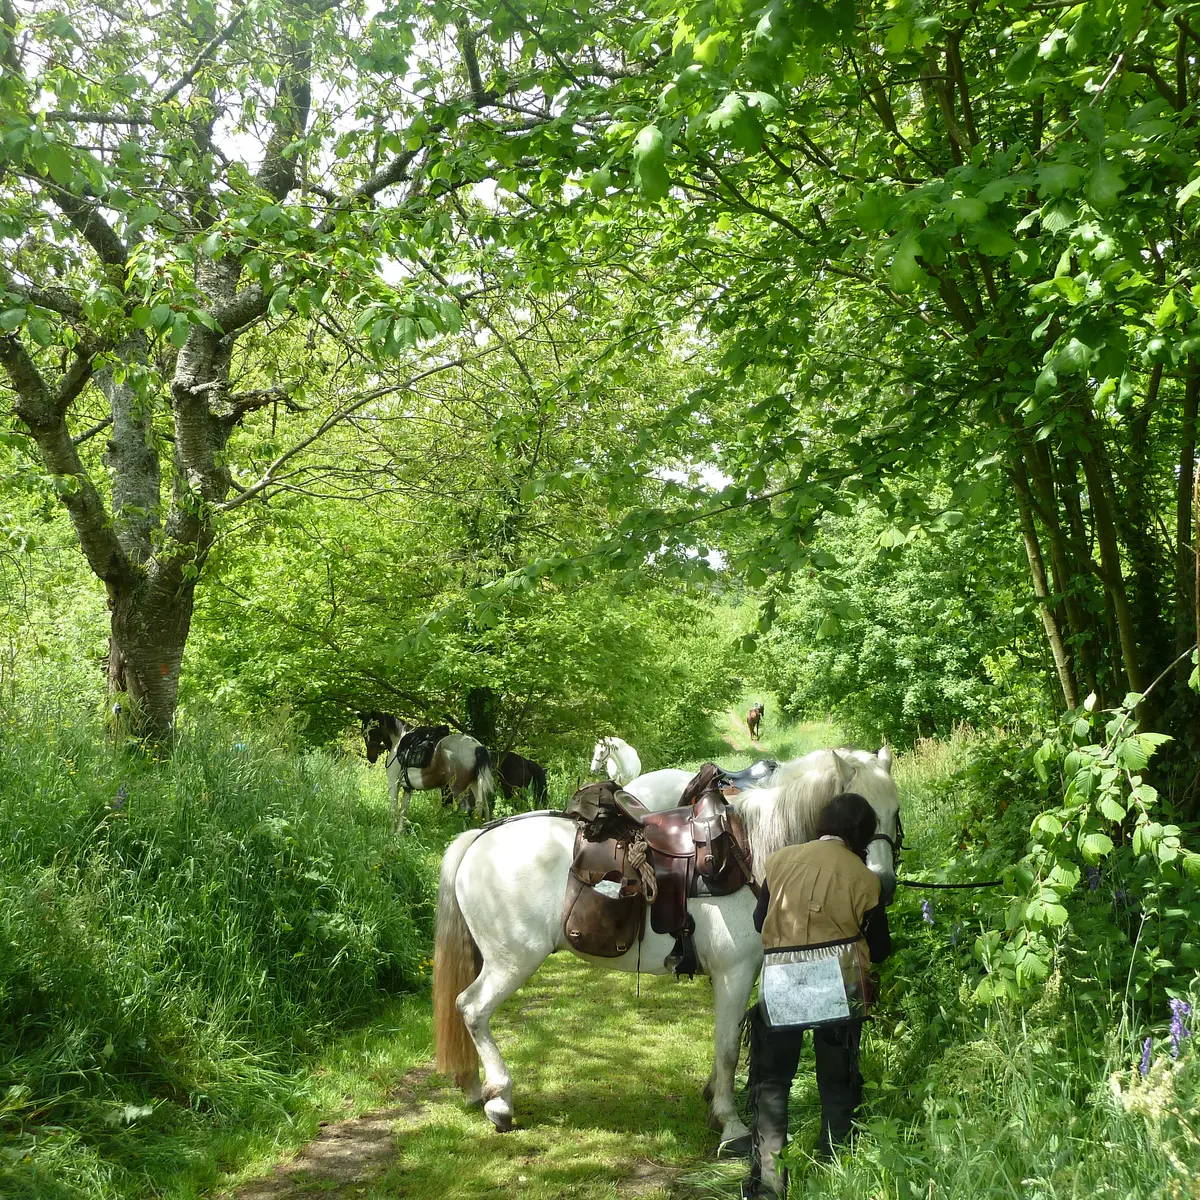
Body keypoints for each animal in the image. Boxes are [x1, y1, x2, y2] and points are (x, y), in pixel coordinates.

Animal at [358, 711, 495, 831]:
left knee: (466, 810)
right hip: (475, 784)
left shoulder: (393, 784)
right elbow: (403, 810)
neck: (398, 744)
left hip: (457, 788)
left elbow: (394, 809)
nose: (371, 757)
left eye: (372, 729)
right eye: (363, 731)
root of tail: (476, 746)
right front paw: (399, 833)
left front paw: (392, 832)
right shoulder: (407, 788)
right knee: (483, 808)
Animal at [432, 745, 899, 1140]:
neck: (750, 850)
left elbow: (726, 1042)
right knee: (471, 1009)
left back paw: (473, 1088)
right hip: (512, 961)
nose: (884, 886)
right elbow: (728, 1049)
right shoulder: (735, 973)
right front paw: (730, 1123)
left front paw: (713, 1097)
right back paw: (499, 1102)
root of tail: (479, 837)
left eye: (895, 812)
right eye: (858, 821)